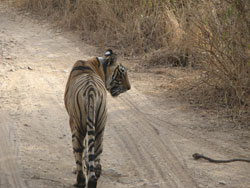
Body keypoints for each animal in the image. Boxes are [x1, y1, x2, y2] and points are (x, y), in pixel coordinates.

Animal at [64, 49, 131, 187]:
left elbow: (84, 151)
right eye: (122, 75)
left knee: (79, 151)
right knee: (97, 152)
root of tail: (91, 91)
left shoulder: (72, 121)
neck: (99, 65)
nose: (129, 87)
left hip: (78, 127)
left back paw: (80, 181)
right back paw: (94, 177)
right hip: (100, 126)